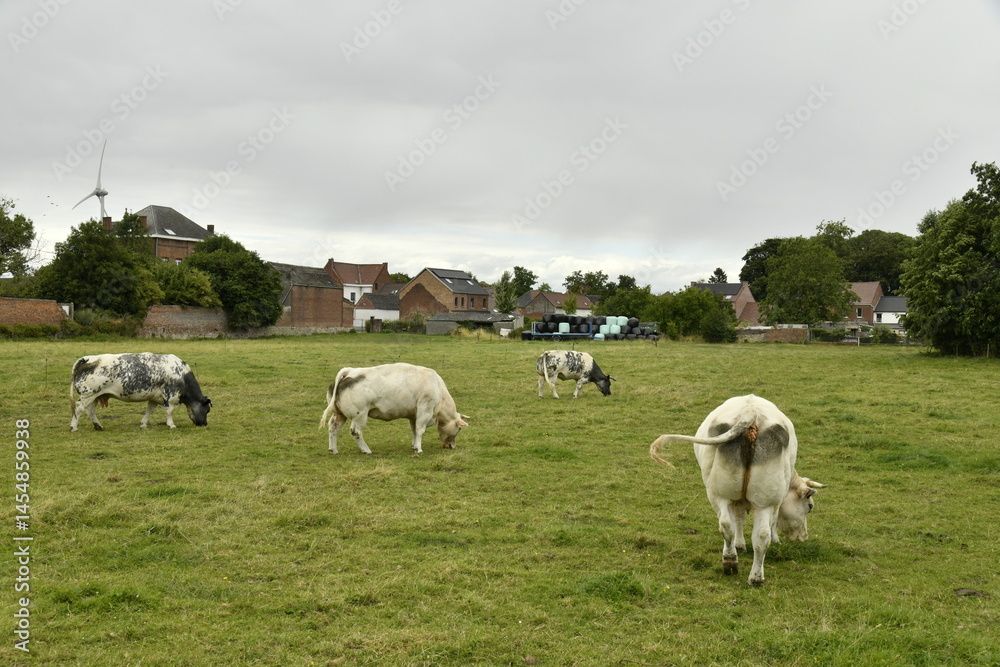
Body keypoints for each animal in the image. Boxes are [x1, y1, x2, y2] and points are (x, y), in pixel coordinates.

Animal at [69, 353, 212, 431]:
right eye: (207, 410)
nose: (205, 424)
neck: (182, 375)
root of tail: (88, 359)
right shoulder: (170, 396)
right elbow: (169, 411)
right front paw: (171, 425)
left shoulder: (154, 397)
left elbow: (149, 410)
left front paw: (143, 424)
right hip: (88, 395)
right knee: (79, 408)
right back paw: (73, 427)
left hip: (95, 396)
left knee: (90, 410)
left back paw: (98, 426)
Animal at [319, 362, 469, 455]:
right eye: (459, 429)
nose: (451, 446)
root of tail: (350, 372)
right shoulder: (425, 410)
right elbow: (420, 430)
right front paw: (419, 449)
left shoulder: (413, 415)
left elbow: (414, 430)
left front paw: (414, 445)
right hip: (359, 415)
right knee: (356, 432)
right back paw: (366, 450)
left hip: (339, 414)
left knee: (333, 428)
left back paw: (333, 449)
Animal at [649, 394, 826, 586]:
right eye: (809, 506)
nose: (804, 536)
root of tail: (750, 412)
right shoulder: (777, 502)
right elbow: (764, 521)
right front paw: (772, 540)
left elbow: (739, 519)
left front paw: (739, 545)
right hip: (760, 500)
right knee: (755, 532)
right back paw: (750, 572)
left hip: (723, 494)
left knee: (733, 528)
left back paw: (735, 565)